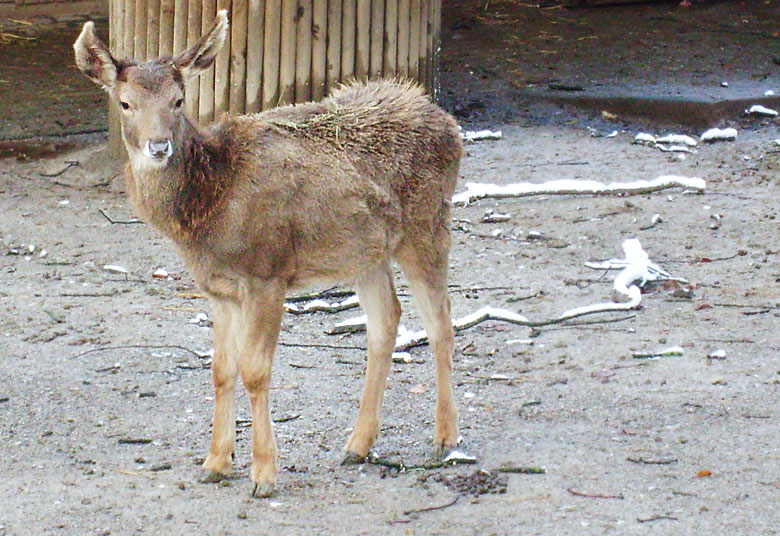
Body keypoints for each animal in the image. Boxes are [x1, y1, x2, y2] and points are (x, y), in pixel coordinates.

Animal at [74, 11, 464, 498]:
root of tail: (449, 124)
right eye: (125, 103)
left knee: (441, 322)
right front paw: (215, 462)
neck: (210, 211)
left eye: (179, 101)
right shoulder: (218, 289)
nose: (159, 146)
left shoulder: (268, 273)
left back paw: (445, 438)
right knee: (387, 319)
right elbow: (221, 369)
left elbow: (255, 370)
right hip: (365, 250)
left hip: (427, 224)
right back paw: (358, 444)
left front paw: (263, 474)